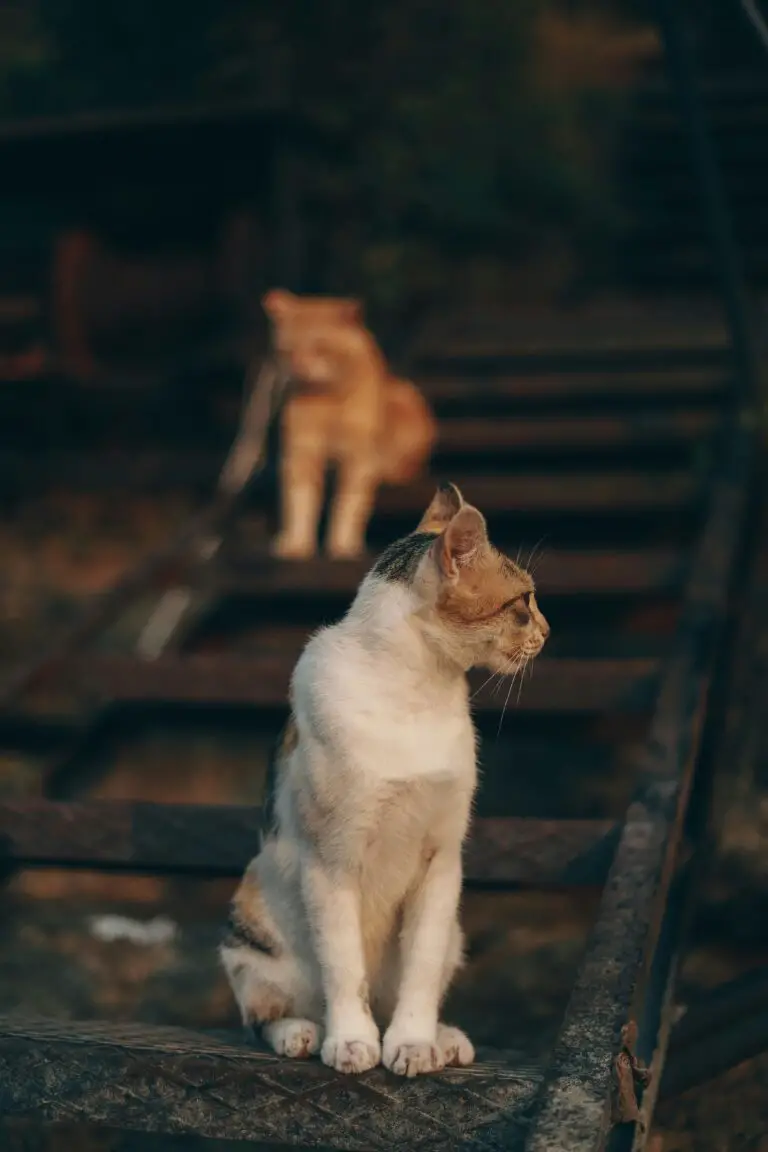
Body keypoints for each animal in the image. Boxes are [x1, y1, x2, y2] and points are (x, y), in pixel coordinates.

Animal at [218, 481, 550, 1073]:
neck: (417, 695)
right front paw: (352, 1041)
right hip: (250, 922)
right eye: (523, 602)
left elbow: (420, 970)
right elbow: (344, 968)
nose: (548, 631)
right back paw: (300, 1033)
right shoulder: (330, 863)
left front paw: (414, 1042)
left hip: (454, 933)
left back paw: (444, 1038)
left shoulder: (442, 859)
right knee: (265, 1013)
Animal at [262, 286, 435, 557]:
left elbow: (348, 504)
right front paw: (296, 542)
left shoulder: (357, 458)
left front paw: (342, 544)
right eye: (288, 350)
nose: (298, 367)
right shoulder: (301, 452)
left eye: (320, 347)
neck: (325, 401)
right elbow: (299, 501)